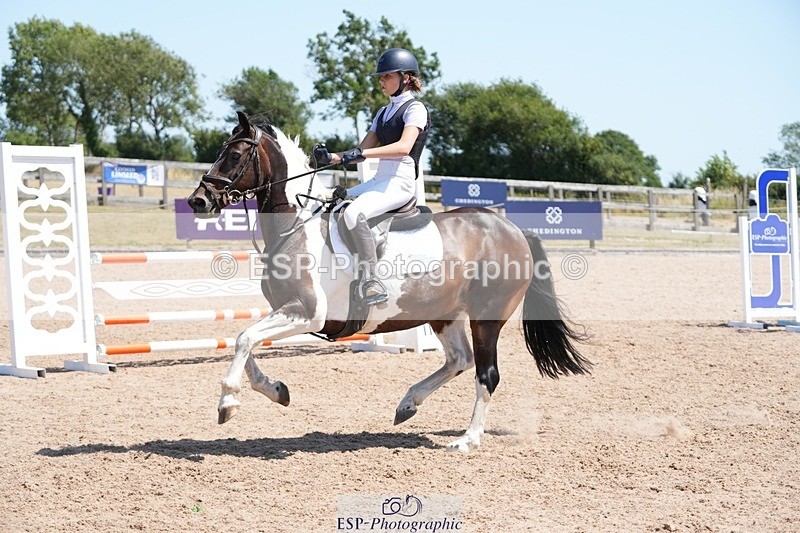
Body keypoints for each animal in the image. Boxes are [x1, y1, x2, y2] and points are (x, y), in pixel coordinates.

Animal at [187, 111, 591, 452]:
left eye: (235, 154)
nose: (198, 201)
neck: (295, 226)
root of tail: (512, 229)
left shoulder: (307, 312)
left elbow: (244, 339)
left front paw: (227, 402)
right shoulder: (286, 311)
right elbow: (246, 342)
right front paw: (275, 390)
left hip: (486, 318)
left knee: (486, 374)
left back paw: (466, 439)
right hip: (444, 313)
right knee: (459, 359)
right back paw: (408, 404)